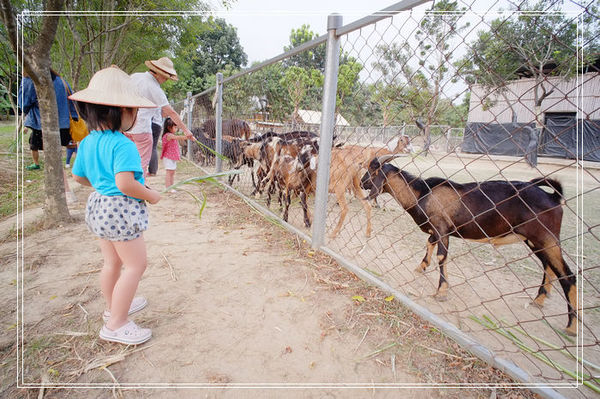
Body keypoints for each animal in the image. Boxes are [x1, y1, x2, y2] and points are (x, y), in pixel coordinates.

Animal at [358, 155, 580, 336]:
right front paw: (421, 267)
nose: (361, 183)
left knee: (567, 275)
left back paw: (571, 326)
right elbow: (429, 244)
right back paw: (539, 299)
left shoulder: (442, 228)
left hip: (547, 238)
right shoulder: (436, 231)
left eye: (371, 170)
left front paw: (441, 292)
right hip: (535, 241)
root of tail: (554, 197)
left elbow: (441, 256)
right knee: (549, 267)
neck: (422, 194)